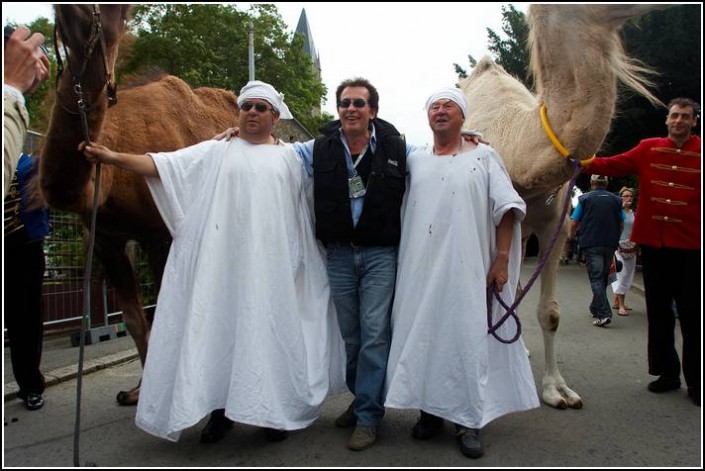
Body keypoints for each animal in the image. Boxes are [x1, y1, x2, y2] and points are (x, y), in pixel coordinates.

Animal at [41, 4, 239, 406]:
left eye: (113, 11)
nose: (71, 8)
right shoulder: (107, 239)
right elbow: (134, 319)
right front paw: (138, 392)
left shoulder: (160, 232)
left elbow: (163, 309)